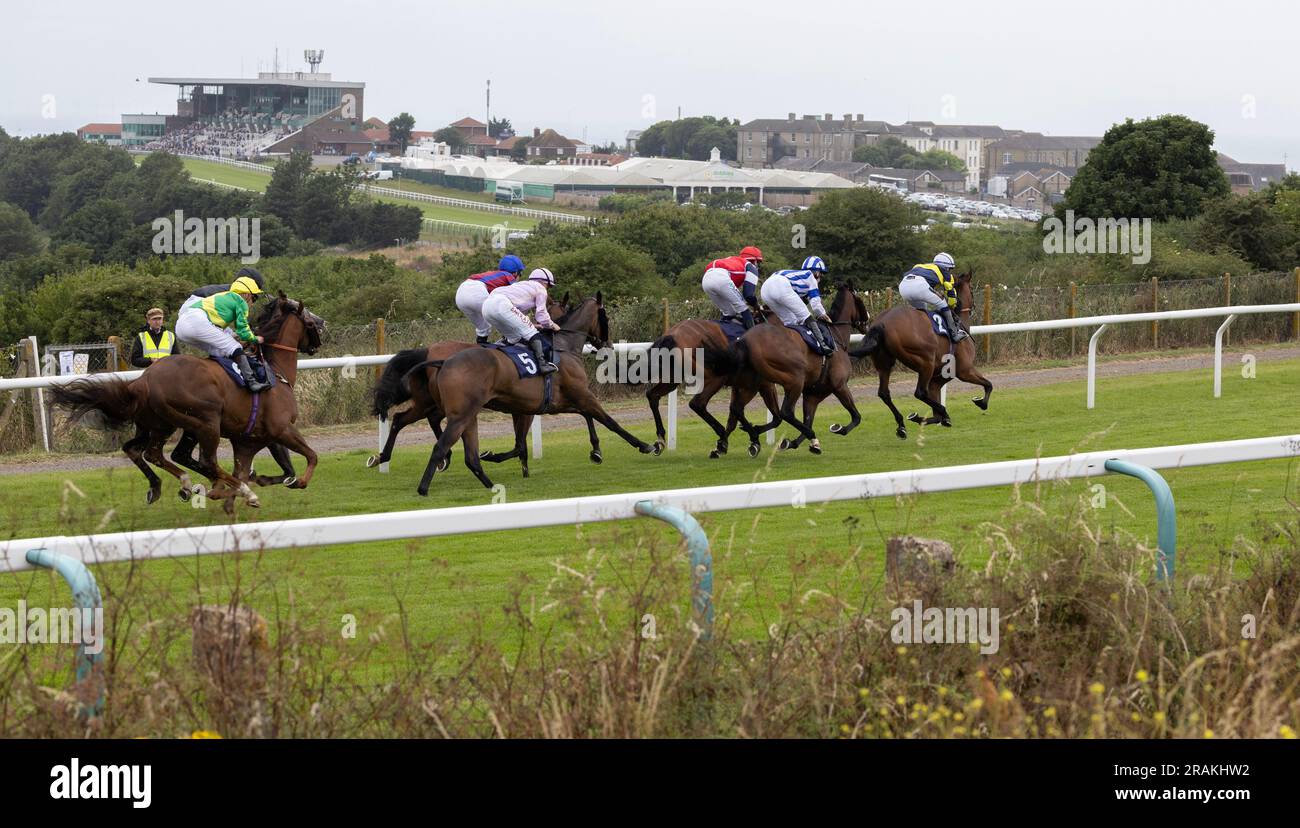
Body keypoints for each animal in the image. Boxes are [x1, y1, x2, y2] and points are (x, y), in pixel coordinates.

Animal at [57, 291, 325, 509]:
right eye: (310, 321)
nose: (324, 326)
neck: (275, 370)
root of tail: (143, 381)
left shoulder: (249, 440)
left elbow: (267, 467)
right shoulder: (281, 428)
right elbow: (311, 456)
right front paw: (295, 481)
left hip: (159, 424)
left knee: (144, 451)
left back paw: (171, 486)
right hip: (205, 422)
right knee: (202, 460)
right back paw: (226, 489)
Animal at [416, 293, 660, 493]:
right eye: (605, 317)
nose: (606, 344)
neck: (563, 345)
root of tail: (443, 361)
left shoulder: (553, 403)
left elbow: (580, 419)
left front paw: (596, 451)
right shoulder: (581, 396)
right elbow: (611, 422)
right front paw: (646, 445)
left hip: (464, 412)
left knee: (456, 441)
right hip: (461, 413)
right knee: (439, 438)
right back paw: (427, 483)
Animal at [852, 269, 993, 439]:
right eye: (971, 288)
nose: (973, 306)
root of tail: (882, 322)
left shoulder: (938, 379)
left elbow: (936, 411)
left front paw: (923, 418)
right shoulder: (964, 371)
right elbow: (988, 384)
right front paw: (981, 402)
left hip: (884, 362)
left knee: (884, 393)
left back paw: (902, 425)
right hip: (926, 362)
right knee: (920, 392)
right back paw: (943, 414)